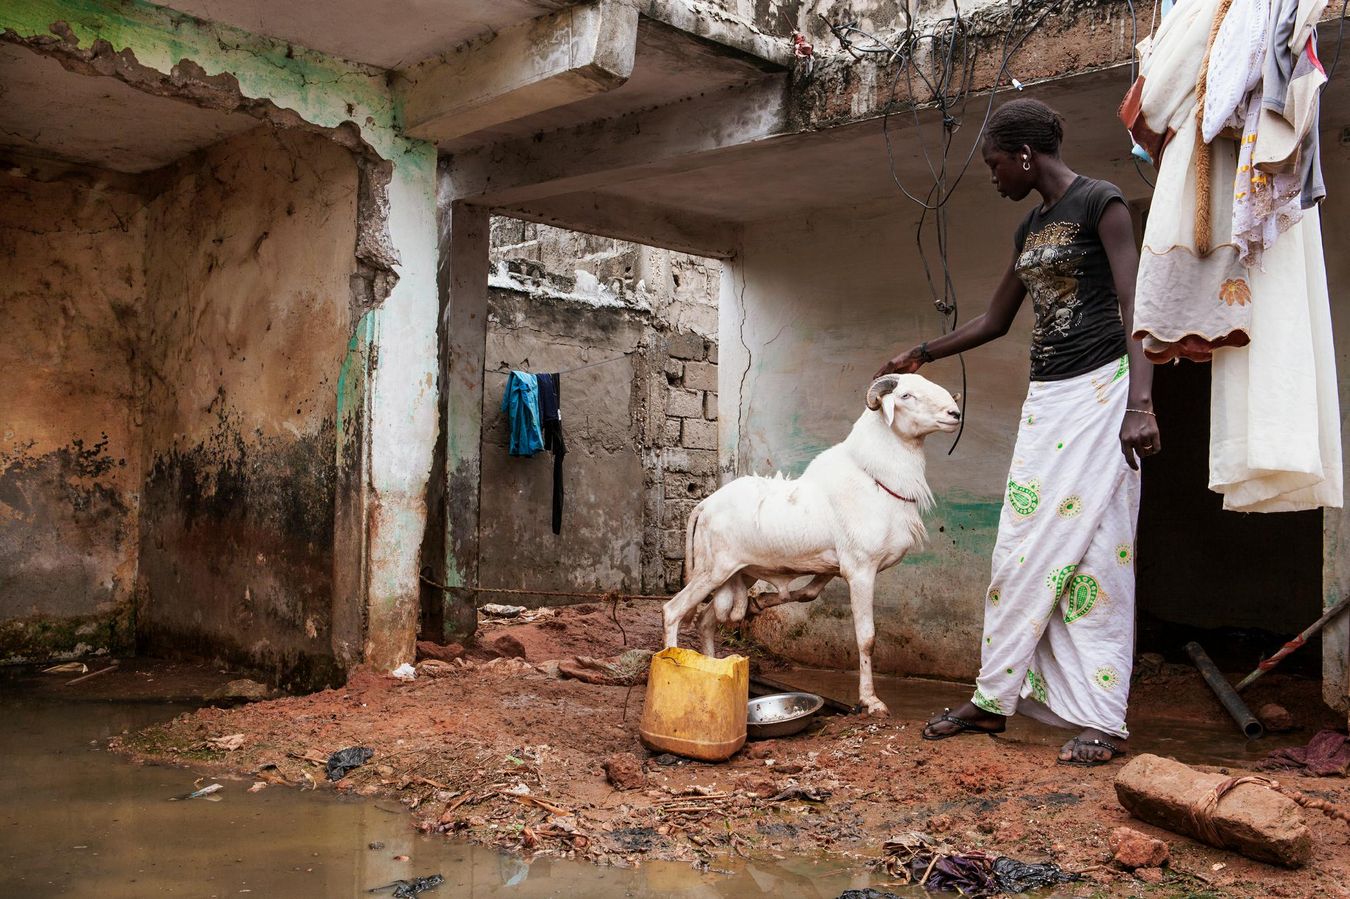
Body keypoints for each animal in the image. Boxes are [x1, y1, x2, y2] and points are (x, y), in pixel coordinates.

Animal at [661, 369, 961, 712]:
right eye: (906, 396)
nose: (954, 414)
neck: (878, 481)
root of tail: (705, 505)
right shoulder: (860, 571)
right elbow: (867, 638)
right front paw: (870, 700)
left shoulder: (831, 569)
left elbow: (806, 594)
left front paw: (760, 604)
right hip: (711, 571)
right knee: (673, 611)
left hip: (738, 574)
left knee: (706, 622)